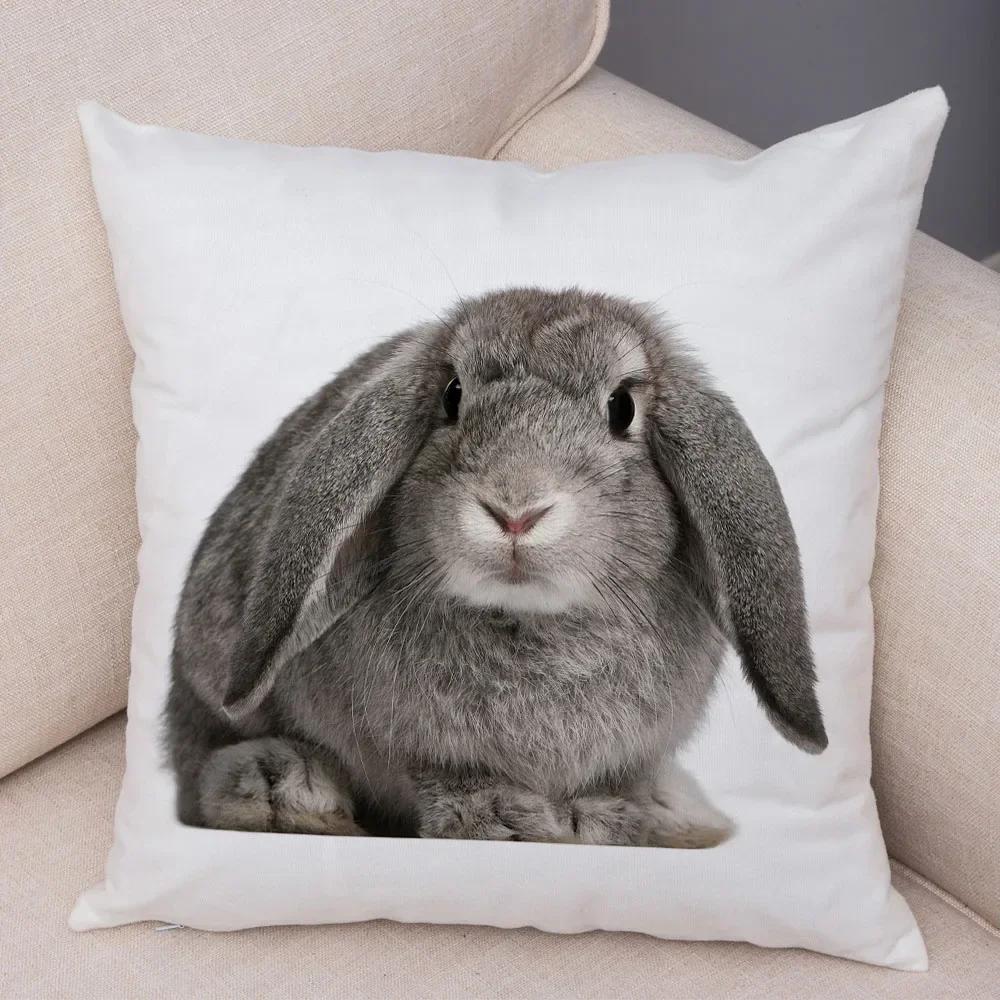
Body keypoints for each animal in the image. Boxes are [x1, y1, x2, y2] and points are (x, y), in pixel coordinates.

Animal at [165, 287, 827, 848]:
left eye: (622, 408)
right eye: (452, 397)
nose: (515, 510)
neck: (529, 619)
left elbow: (614, 786)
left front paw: (598, 821)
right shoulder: (423, 749)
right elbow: (449, 777)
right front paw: (503, 819)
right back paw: (286, 793)